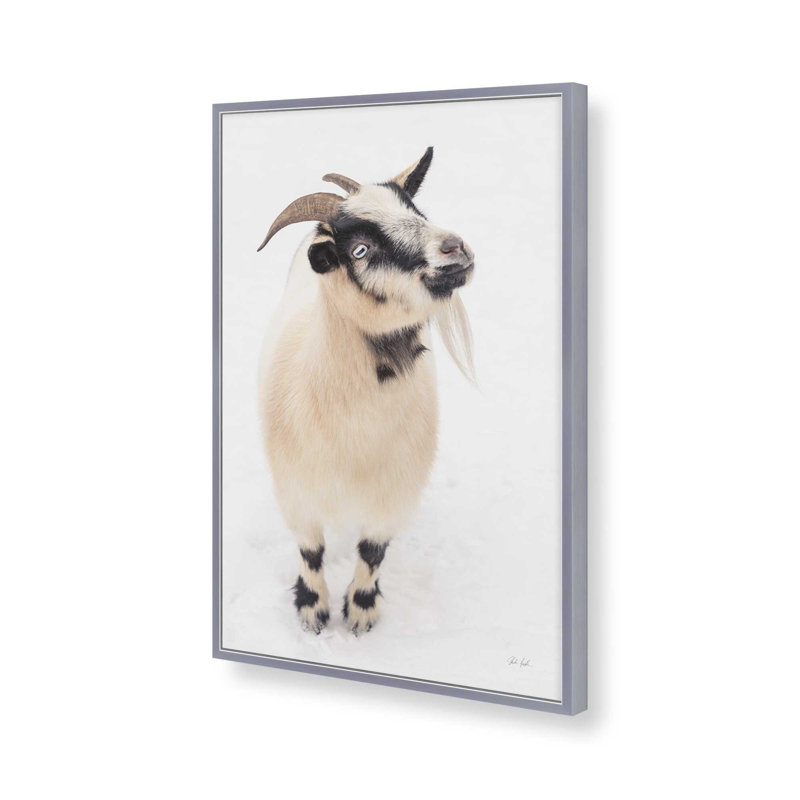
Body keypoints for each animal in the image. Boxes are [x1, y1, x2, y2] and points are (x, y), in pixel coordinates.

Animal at [257, 148, 475, 634]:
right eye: (360, 249)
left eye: (417, 212)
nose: (455, 248)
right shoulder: (295, 491)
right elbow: (311, 551)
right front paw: (312, 612)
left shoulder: (394, 495)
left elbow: (372, 553)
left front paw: (360, 614)